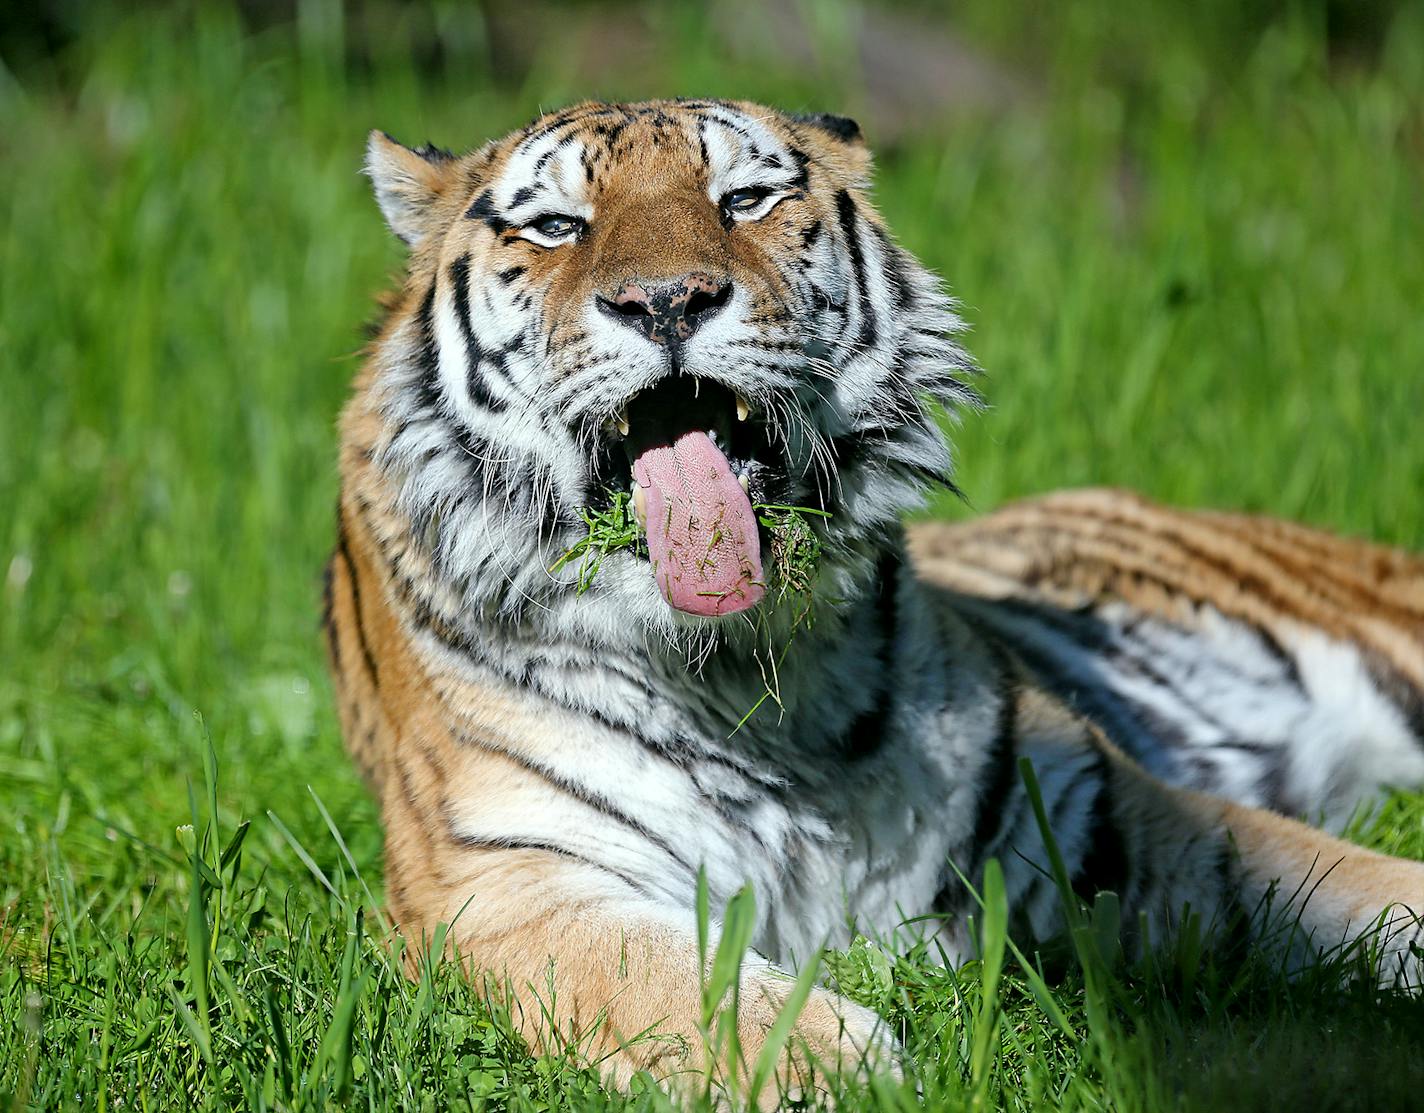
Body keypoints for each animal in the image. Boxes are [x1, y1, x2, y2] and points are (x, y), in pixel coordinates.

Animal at [323, 98, 1424, 1098]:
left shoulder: (1105, 815)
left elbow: (1366, 891)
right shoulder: (501, 880)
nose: (667, 301)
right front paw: (852, 1068)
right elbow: (675, 991)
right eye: (558, 226)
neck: (750, 675)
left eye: (743, 199)